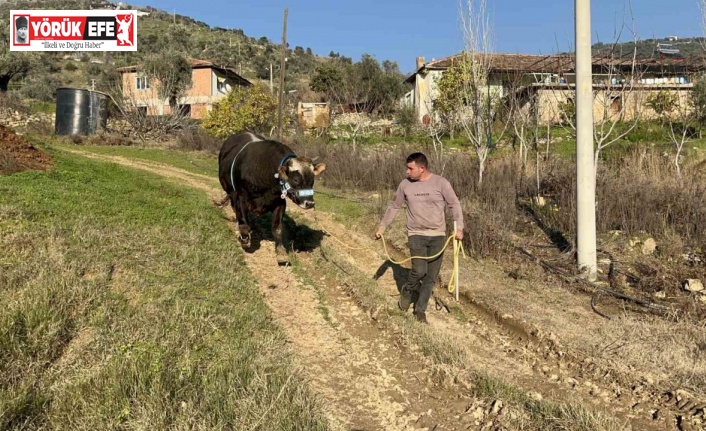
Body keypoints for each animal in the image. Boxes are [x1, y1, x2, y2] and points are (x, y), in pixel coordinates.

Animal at [217, 132, 324, 264]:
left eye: (312, 179)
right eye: (295, 179)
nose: (309, 203)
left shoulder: (280, 202)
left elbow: (277, 228)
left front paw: (281, 252)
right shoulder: (240, 197)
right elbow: (243, 223)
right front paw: (245, 240)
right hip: (229, 190)